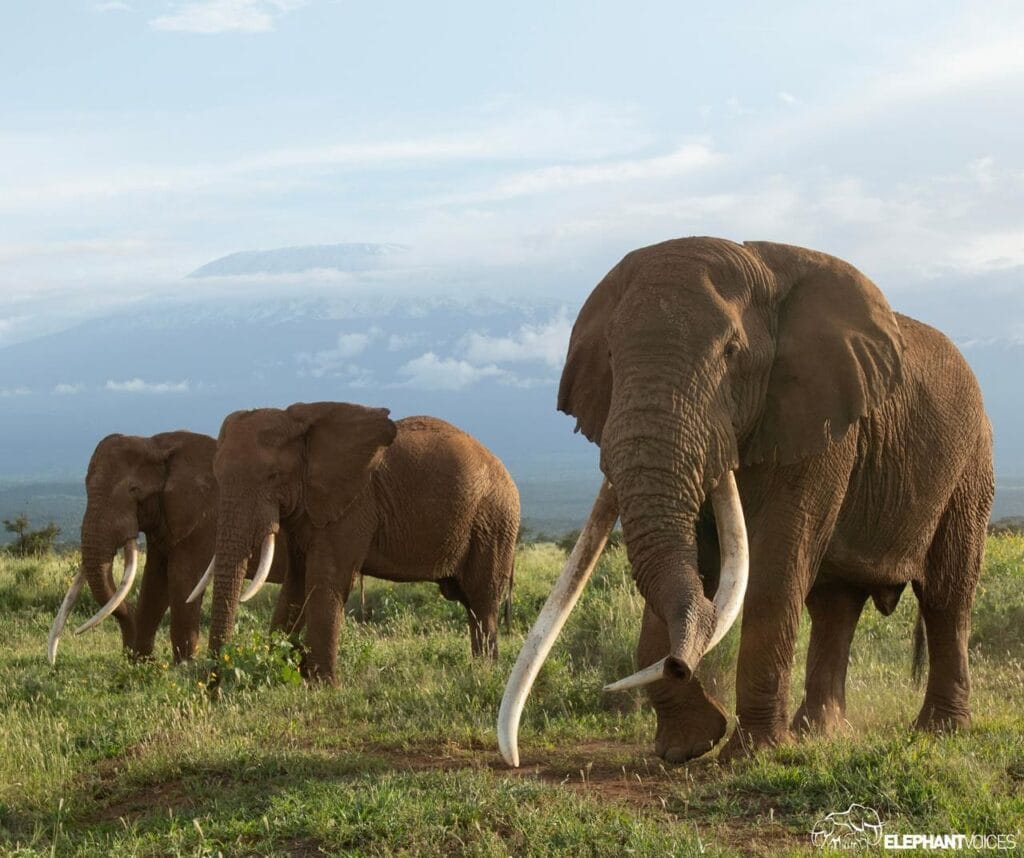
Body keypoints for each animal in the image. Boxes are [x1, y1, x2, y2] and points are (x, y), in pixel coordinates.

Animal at [48, 431, 288, 665]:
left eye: (134, 490)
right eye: (86, 487)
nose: (127, 650)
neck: (158, 444)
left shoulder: (204, 520)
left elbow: (182, 579)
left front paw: (183, 666)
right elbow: (155, 580)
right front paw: (142, 662)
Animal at [205, 402, 520, 683]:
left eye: (273, 476)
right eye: (216, 476)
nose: (214, 687)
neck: (300, 424)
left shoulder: (355, 505)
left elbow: (326, 580)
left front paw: (321, 686)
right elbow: (296, 583)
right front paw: (284, 671)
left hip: (493, 521)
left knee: (481, 601)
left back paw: (484, 673)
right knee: (469, 603)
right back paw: (478, 670)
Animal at [499, 237, 993, 766]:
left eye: (732, 352)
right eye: (611, 354)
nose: (678, 664)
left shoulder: (818, 423)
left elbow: (775, 569)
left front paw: (753, 754)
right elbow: (692, 565)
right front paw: (689, 744)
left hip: (971, 463)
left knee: (947, 596)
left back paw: (940, 731)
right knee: (836, 606)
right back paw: (819, 733)